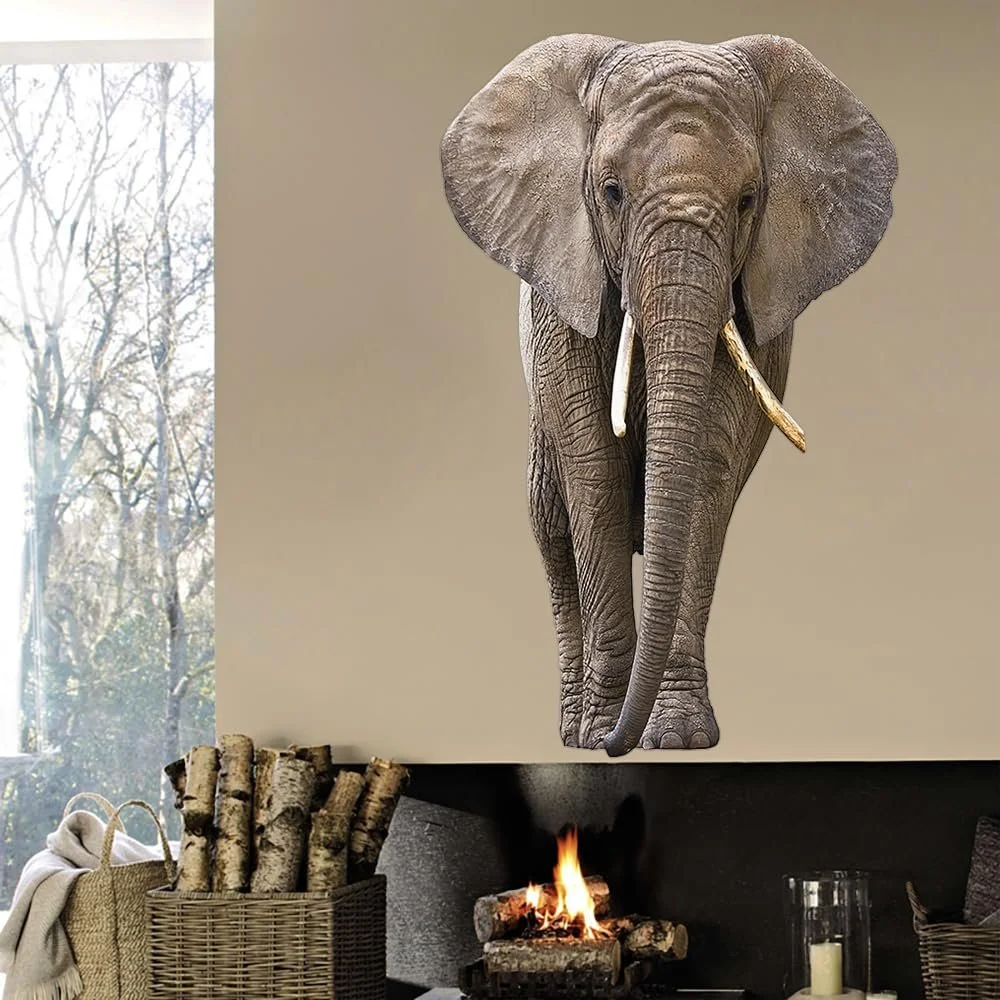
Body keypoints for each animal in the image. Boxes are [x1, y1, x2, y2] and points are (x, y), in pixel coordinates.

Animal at [439, 33, 897, 755]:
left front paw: (677, 737)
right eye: (611, 192)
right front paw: (602, 730)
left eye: (748, 200)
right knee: (548, 519)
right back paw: (571, 728)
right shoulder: (560, 293)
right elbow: (593, 468)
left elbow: (708, 465)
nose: (615, 745)